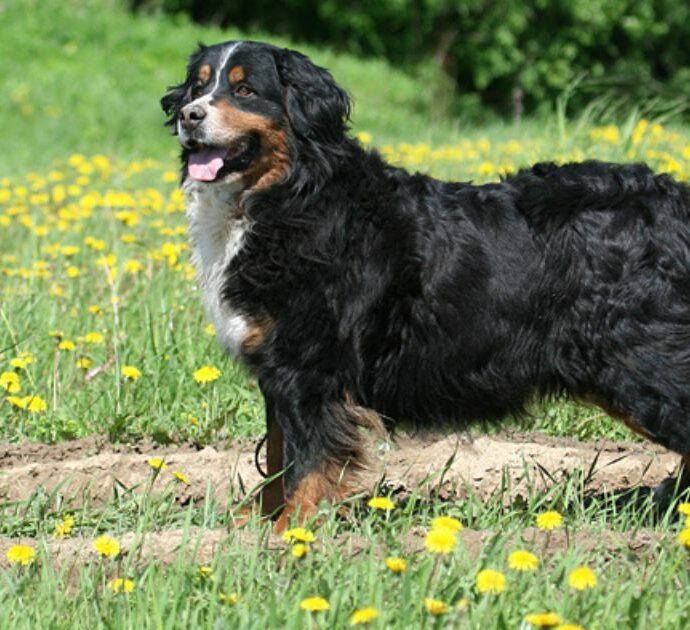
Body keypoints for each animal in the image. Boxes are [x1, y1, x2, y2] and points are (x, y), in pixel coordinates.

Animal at [159, 40, 688, 532]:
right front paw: (254, 526)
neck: (286, 196)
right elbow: (276, 457)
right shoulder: (278, 368)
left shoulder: (308, 367)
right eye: (197, 87)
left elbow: (307, 461)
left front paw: (293, 532)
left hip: (640, 363)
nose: (189, 115)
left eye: (245, 90)